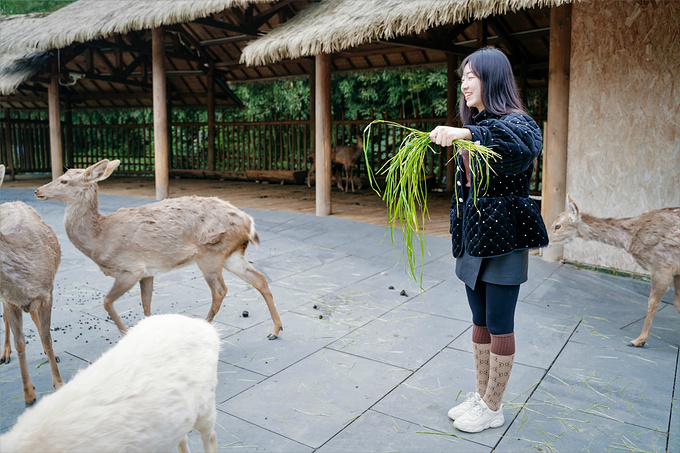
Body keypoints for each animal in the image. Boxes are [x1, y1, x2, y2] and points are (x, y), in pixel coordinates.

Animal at [0, 164, 64, 404]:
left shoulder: (47, 292)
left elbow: (46, 337)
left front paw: (59, 383)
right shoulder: (9, 299)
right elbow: (20, 342)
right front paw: (29, 394)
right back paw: (4, 353)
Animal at [33, 159, 284, 340]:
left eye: (64, 181)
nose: (37, 191)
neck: (100, 238)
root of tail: (249, 223)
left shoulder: (129, 268)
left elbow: (106, 301)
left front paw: (126, 334)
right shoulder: (147, 271)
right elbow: (146, 303)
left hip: (211, 252)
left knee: (220, 290)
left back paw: (205, 326)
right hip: (232, 254)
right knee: (259, 278)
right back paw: (275, 330)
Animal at [548, 193, 680, 346]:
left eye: (558, 226)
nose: (546, 240)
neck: (631, 238)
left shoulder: (662, 264)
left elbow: (652, 302)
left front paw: (638, 340)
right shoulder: (676, 271)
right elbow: (677, 303)